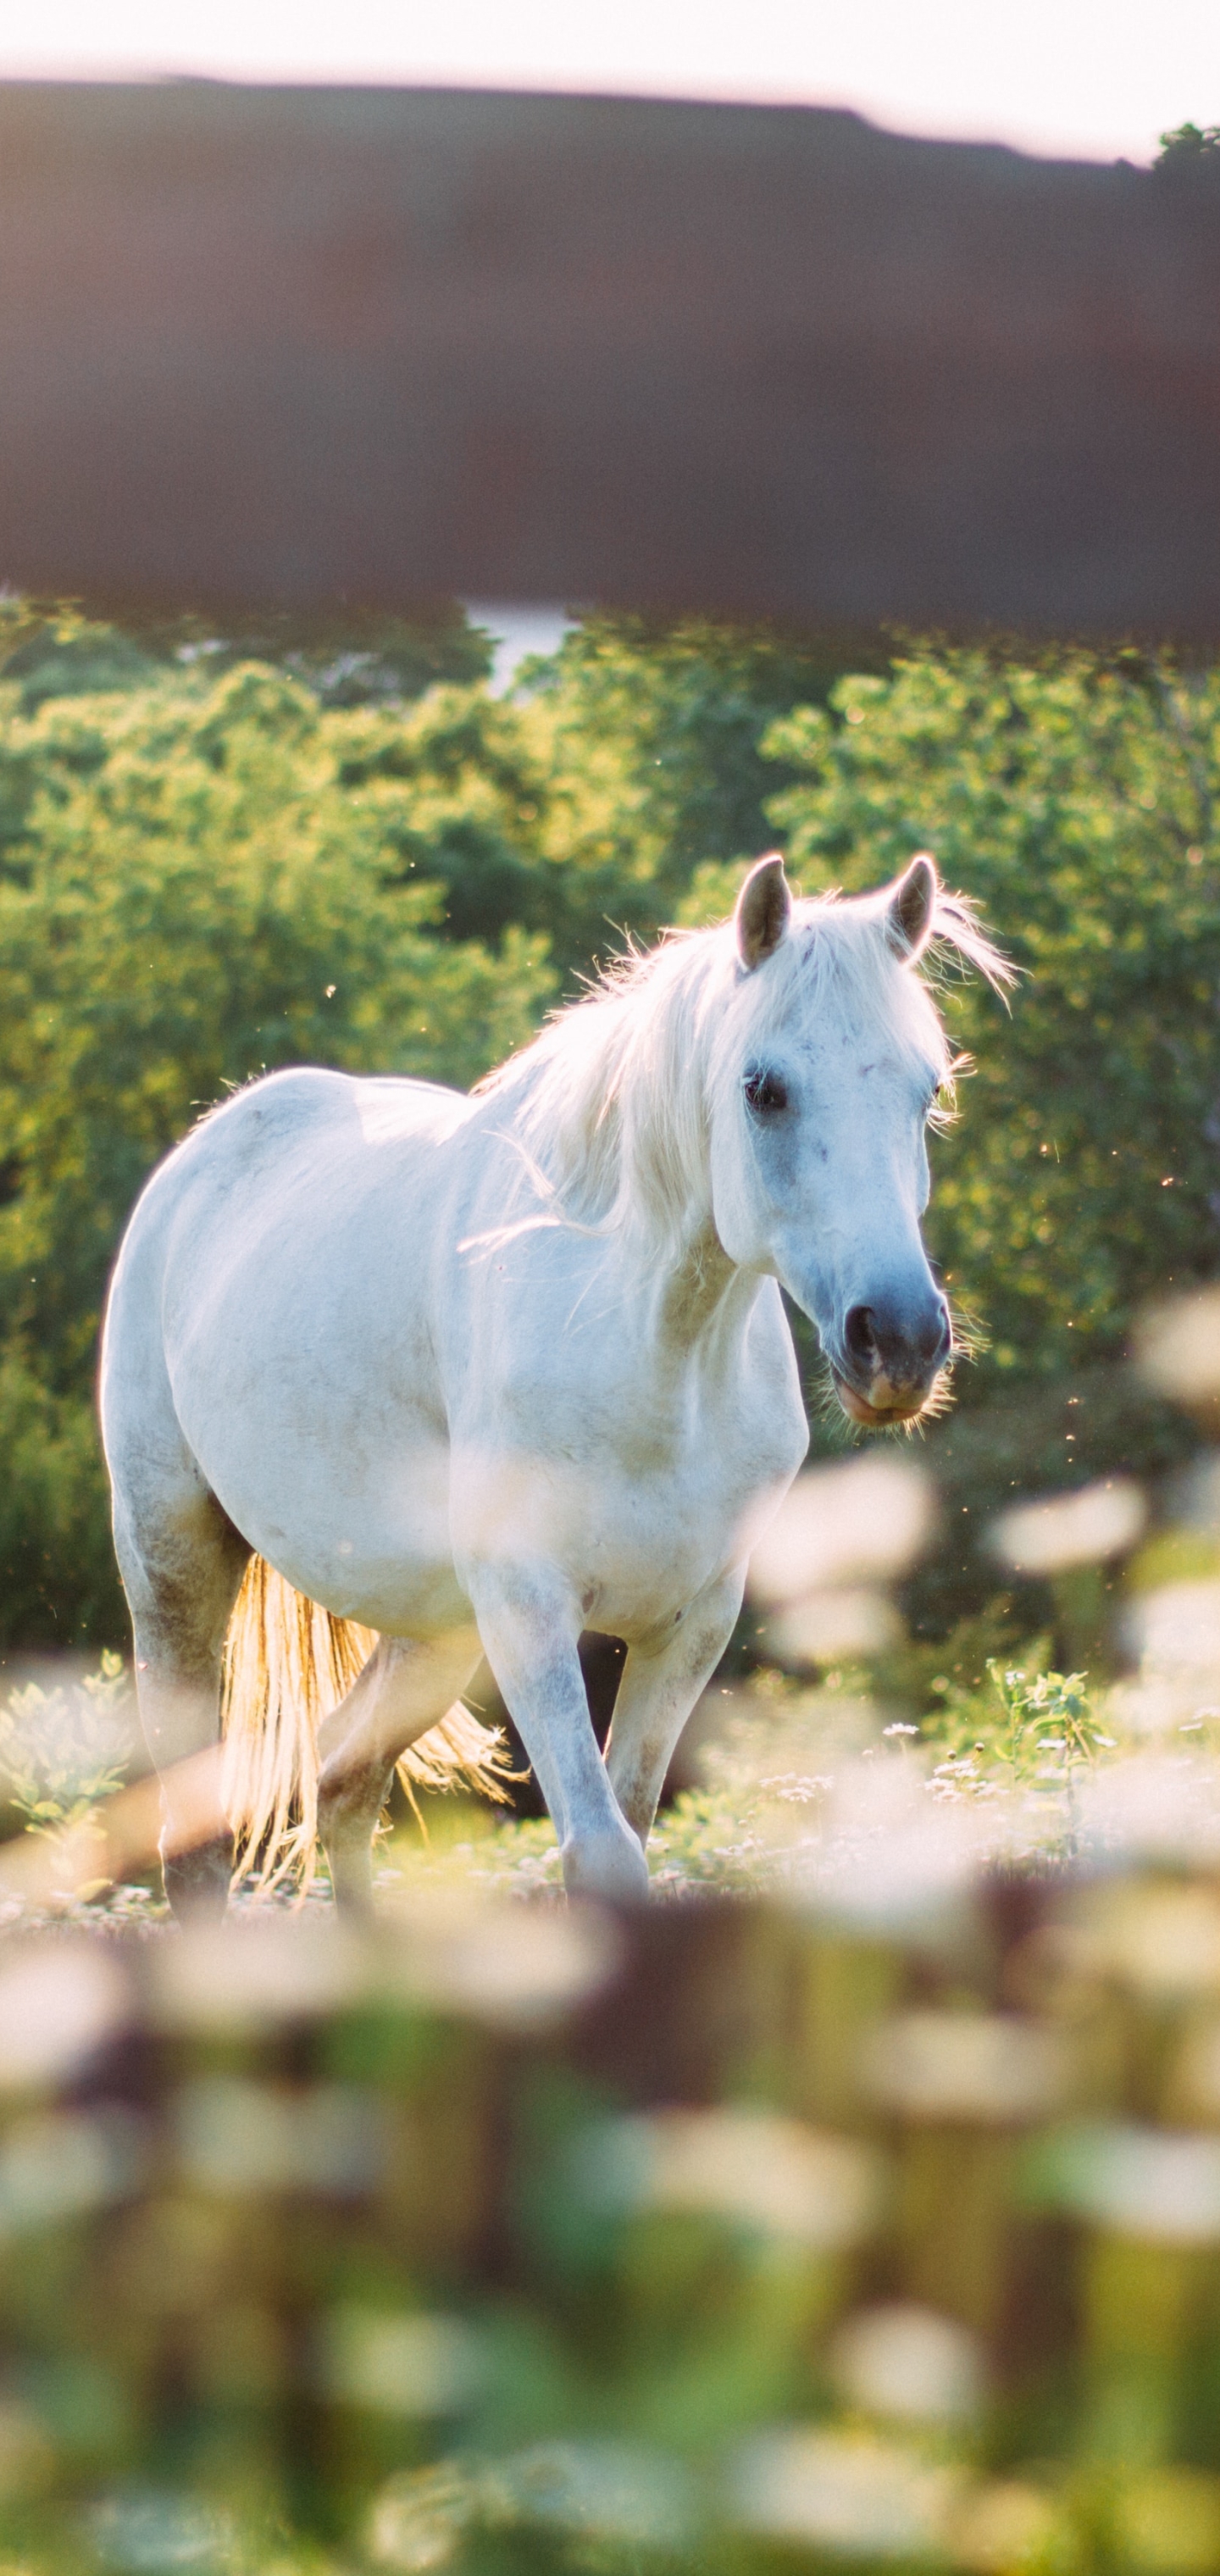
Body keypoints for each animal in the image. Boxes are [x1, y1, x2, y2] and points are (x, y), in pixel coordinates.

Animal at [102, 850, 998, 1916]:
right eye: (763, 1088)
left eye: (926, 1091)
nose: (898, 1338)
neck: (651, 1364)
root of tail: (205, 1152)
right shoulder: (531, 1608)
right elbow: (601, 1853)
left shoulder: (691, 1623)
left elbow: (632, 1824)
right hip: (175, 1564)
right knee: (194, 1837)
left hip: (437, 1631)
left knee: (345, 1780)